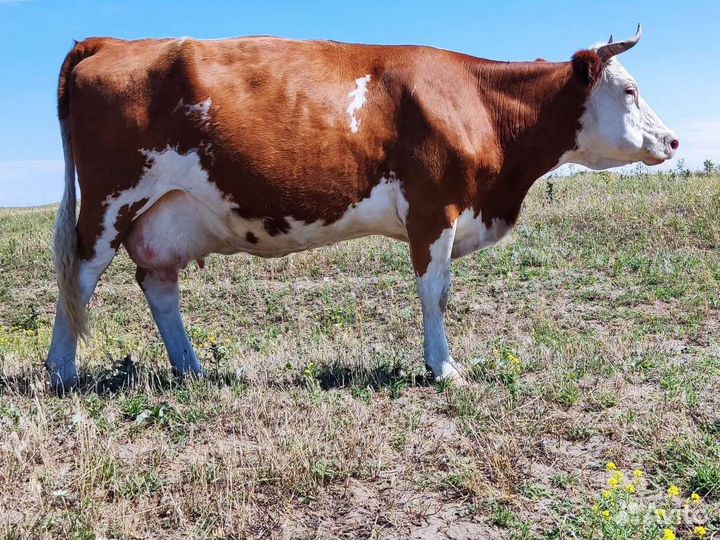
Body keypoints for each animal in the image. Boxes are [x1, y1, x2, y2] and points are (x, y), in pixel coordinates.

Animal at [46, 26, 678, 390]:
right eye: (629, 90)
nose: (672, 141)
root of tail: (112, 43)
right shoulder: (434, 208)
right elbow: (434, 292)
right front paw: (443, 368)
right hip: (109, 201)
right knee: (79, 277)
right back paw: (61, 372)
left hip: (165, 213)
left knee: (158, 283)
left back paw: (193, 370)